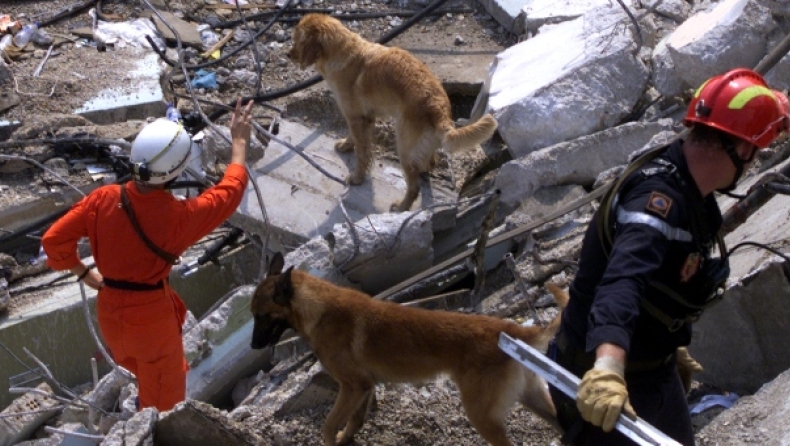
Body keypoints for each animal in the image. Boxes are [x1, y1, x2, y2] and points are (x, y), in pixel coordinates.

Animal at [251, 253, 568, 444]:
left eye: (261, 316)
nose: (253, 345)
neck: (316, 307)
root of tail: (518, 332)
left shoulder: (352, 386)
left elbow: (328, 427)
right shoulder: (364, 388)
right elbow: (355, 421)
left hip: (481, 415)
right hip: (532, 398)